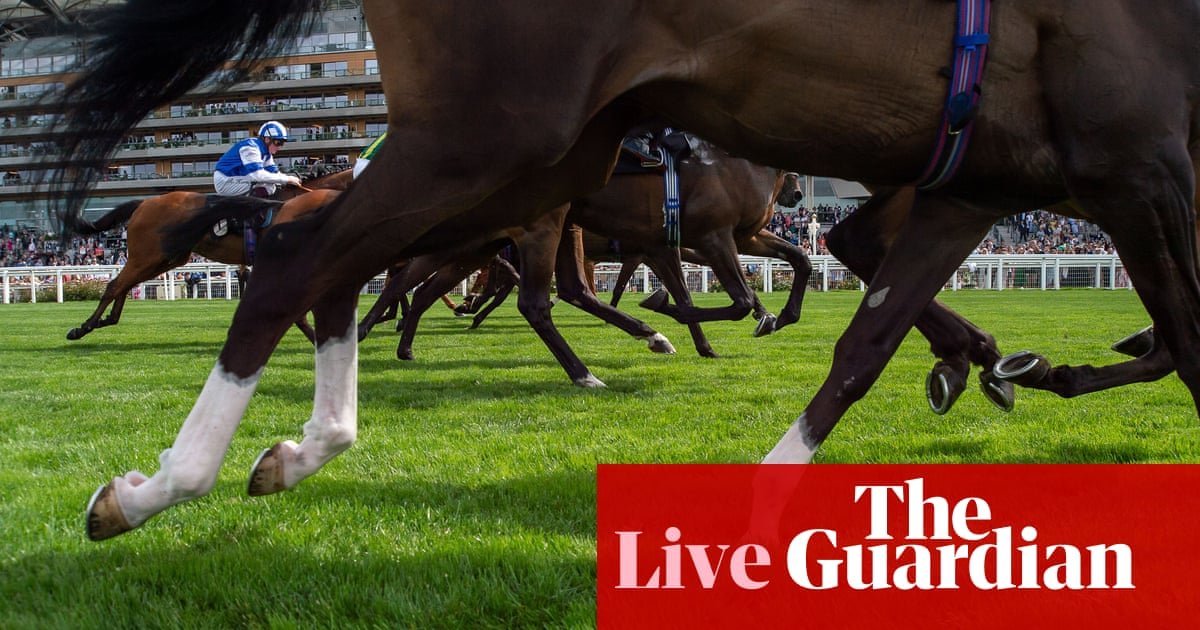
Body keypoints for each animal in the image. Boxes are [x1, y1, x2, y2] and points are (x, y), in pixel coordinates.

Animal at [62, 166, 350, 340]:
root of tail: (144, 202)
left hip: (164, 259)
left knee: (124, 284)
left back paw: (104, 320)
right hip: (147, 256)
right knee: (114, 285)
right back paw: (83, 327)